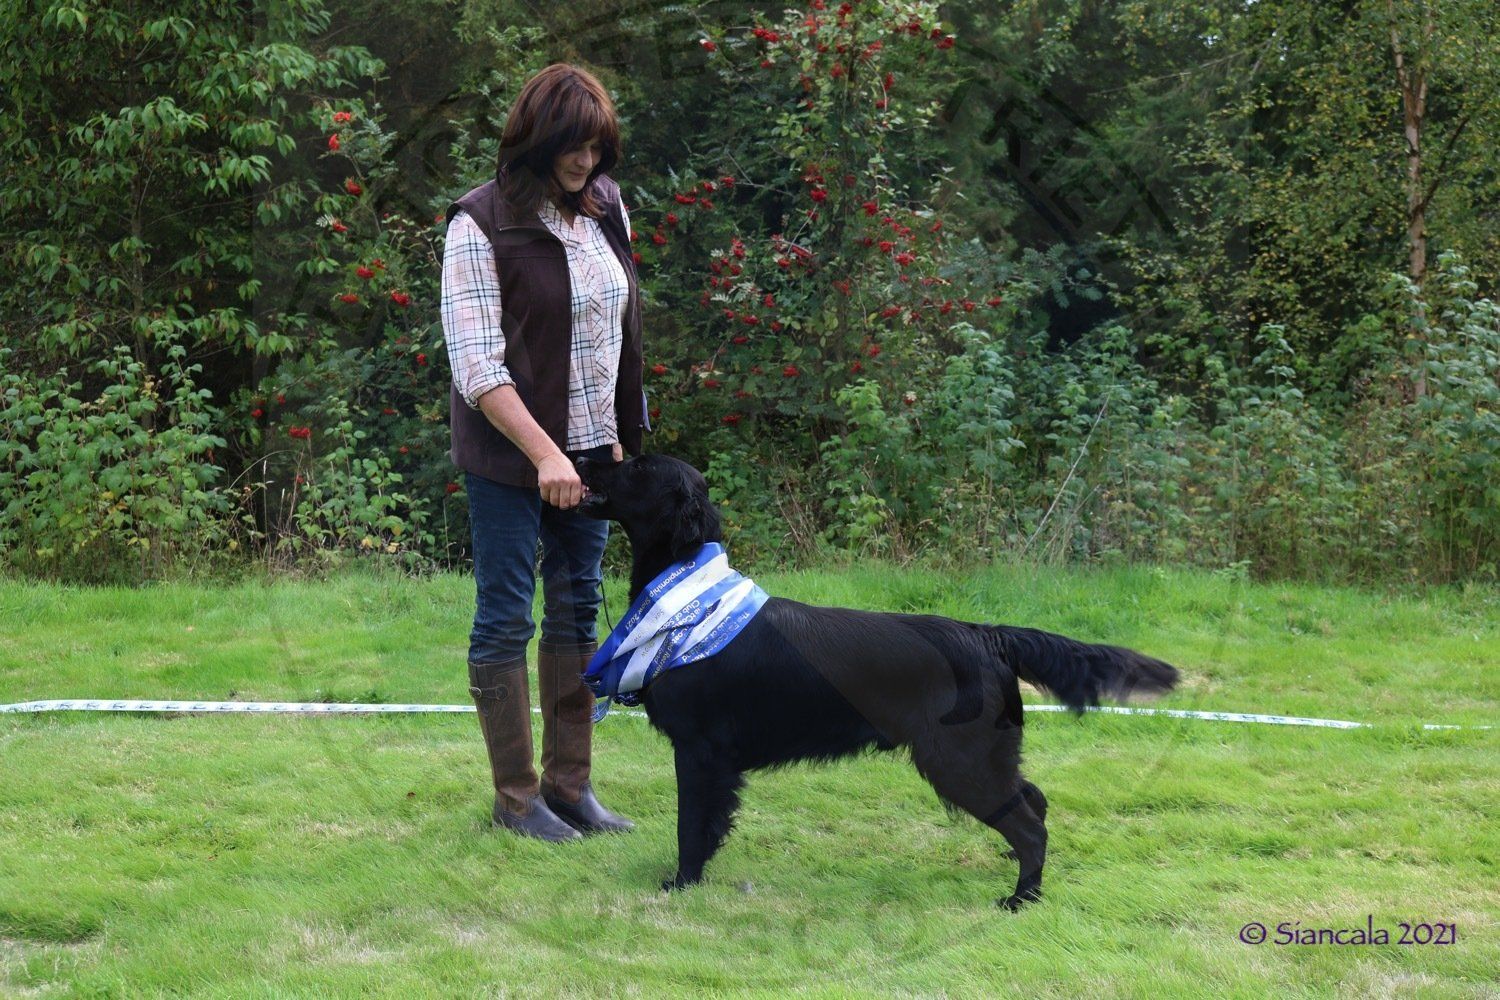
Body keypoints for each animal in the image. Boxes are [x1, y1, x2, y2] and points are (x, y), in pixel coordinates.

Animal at [576, 453, 1179, 908]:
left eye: (636, 467)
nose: (582, 457)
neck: (689, 604)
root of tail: (986, 635)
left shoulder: (701, 751)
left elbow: (692, 825)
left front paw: (682, 883)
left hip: (959, 760)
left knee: (1031, 824)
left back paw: (1022, 897)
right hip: (984, 755)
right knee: (1033, 800)